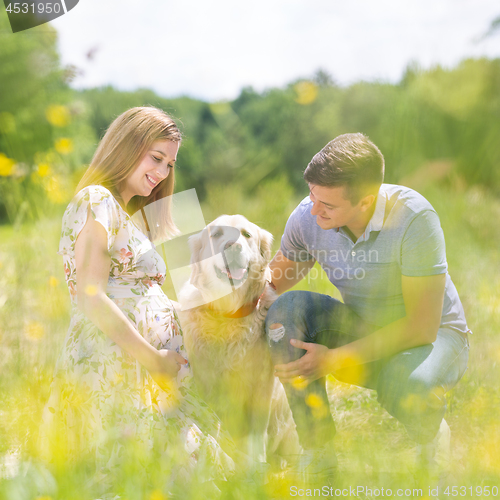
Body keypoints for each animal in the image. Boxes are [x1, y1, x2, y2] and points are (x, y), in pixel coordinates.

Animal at [179, 214, 298, 464]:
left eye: (246, 234)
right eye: (216, 235)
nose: (232, 246)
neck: (229, 314)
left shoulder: (262, 383)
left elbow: (256, 431)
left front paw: (255, 462)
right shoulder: (206, 382)